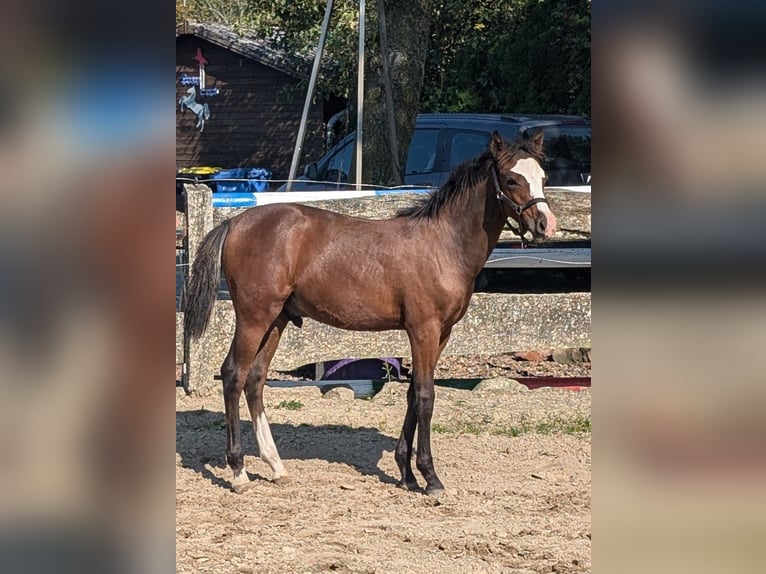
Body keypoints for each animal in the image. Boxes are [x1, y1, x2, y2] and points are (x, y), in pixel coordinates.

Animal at [186, 129, 560, 496]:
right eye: (512, 179)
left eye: (543, 177)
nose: (547, 225)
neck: (442, 245)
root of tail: (235, 222)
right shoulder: (423, 329)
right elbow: (425, 395)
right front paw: (430, 477)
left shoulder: (441, 334)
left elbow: (412, 393)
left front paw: (407, 474)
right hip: (254, 317)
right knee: (234, 375)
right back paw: (238, 472)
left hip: (276, 321)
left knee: (256, 379)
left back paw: (276, 467)